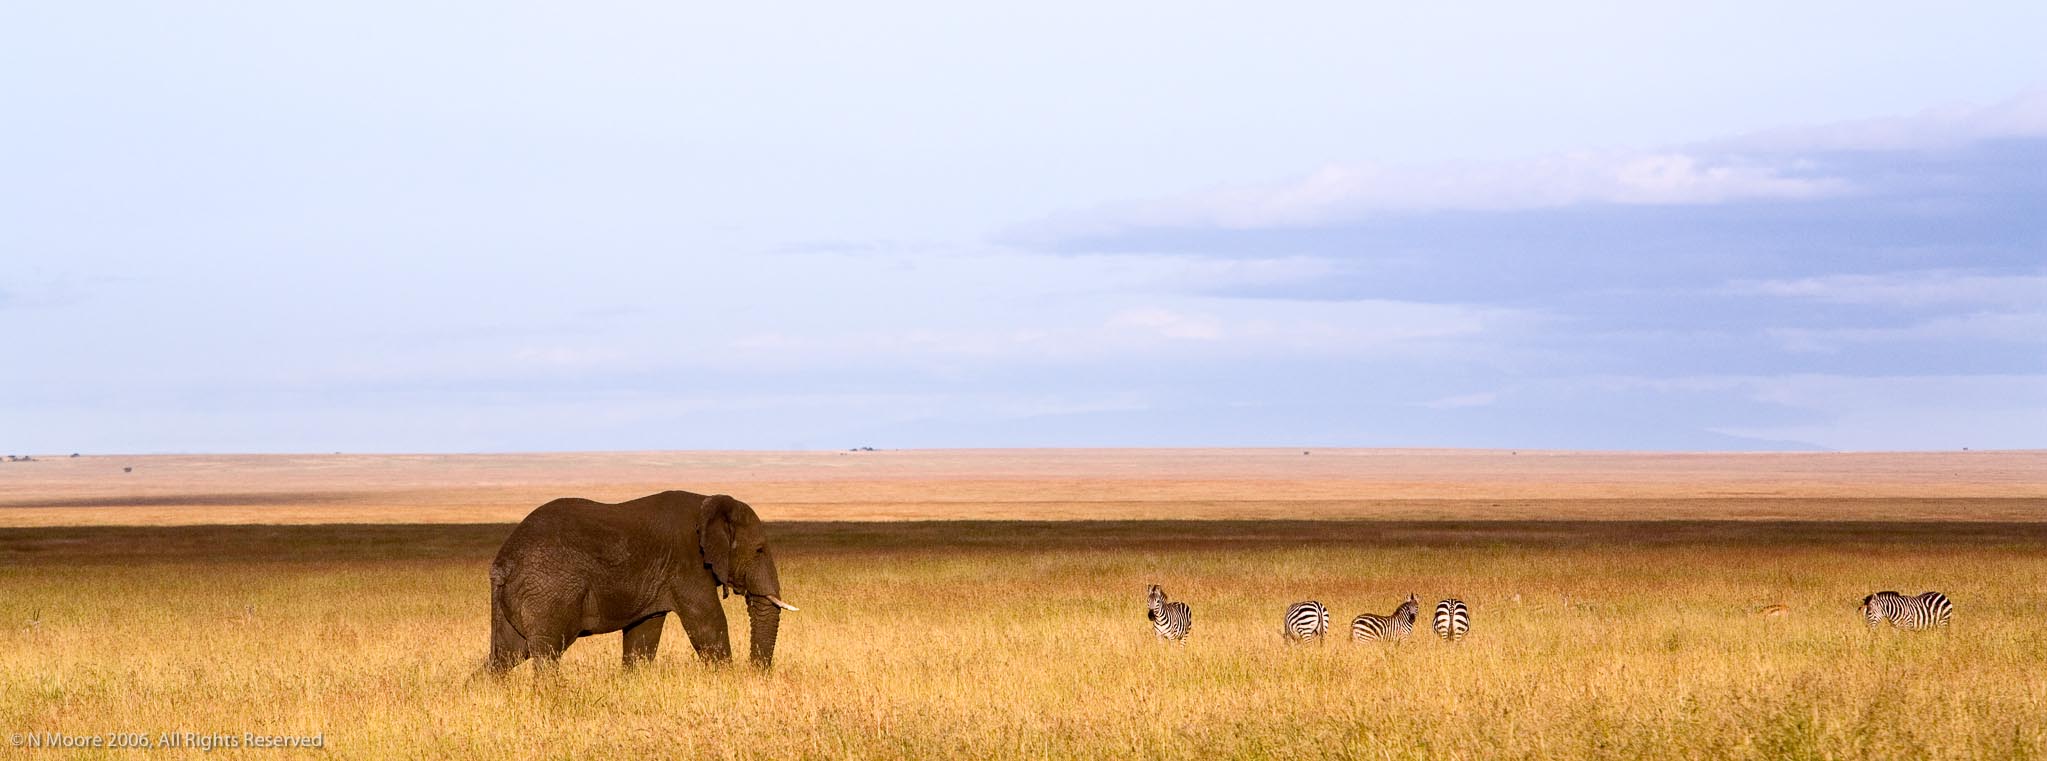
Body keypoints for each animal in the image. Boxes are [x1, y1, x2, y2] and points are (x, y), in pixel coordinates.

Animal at [483, 486, 794, 670]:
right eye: (759, 550)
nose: (755, 673)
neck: (709, 502)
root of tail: (502, 563)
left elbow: (644, 632)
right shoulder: (687, 564)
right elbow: (708, 623)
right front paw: (726, 679)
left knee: (508, 654)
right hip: (549, 591)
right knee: (546, 652)